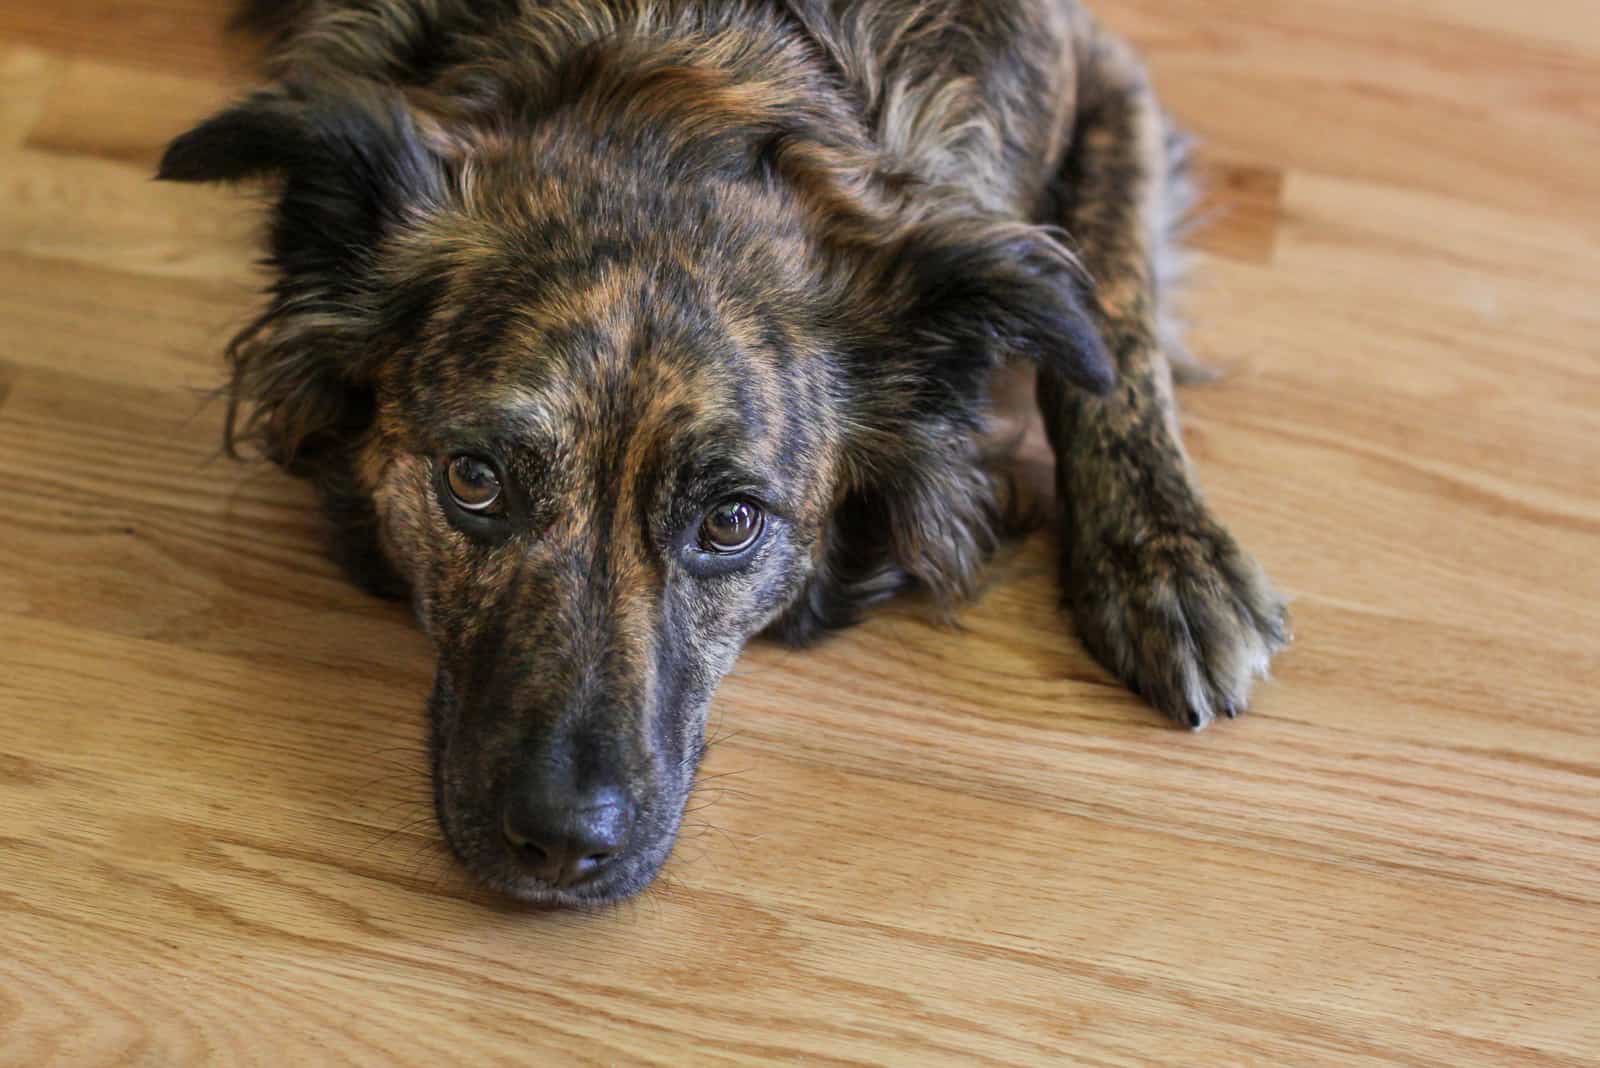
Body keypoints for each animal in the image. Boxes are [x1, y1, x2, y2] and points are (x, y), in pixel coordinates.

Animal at [159, 0, 1286, 908]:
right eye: (472, 482)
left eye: (730, 521)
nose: (560, 846)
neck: (689, 65)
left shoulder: (1101, 73)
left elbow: (1108, 309)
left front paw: (1165, 561)